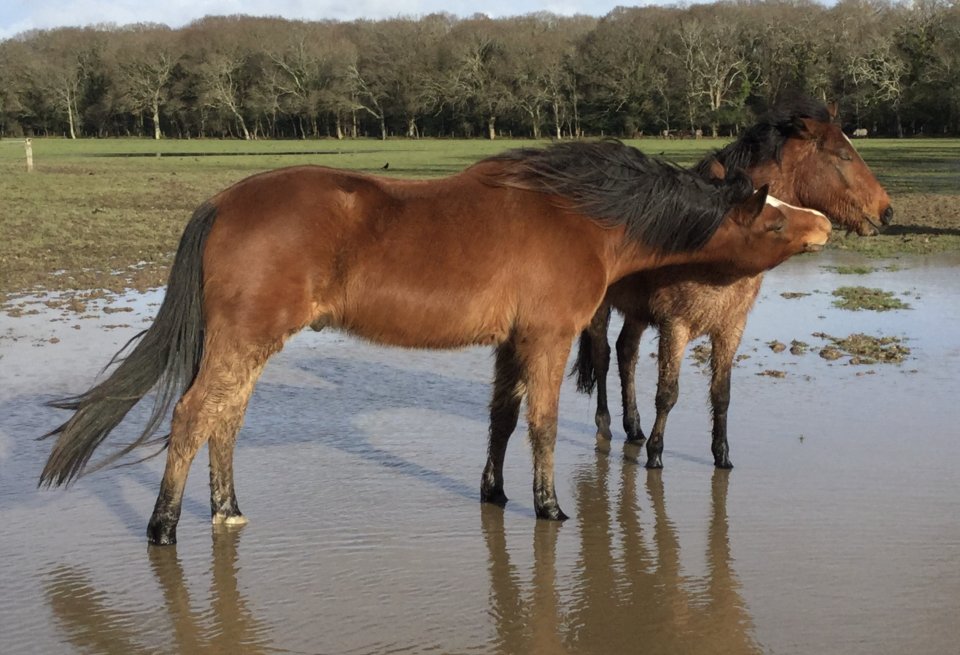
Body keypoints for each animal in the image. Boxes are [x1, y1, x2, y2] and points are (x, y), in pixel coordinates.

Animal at [38, 140, 831, 544]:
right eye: (772, 218)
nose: (823, 223)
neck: (581, 214)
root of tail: (222, 200)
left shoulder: (512, 342)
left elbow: (502, 419)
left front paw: (495, 491)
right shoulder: (547, 338)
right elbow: (543, 425)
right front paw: (548, 507)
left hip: (250, 344)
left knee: (223, 420)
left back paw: (227, 510)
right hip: (244, 338)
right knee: (193, 417)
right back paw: (165, 526)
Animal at [572, 98, 893, 469]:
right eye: (843, 155)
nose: (886, 211)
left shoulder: (730, 326)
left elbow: (721, 393)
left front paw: (722, 456)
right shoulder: (675, 325)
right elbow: (667, 393)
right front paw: (656, 456)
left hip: (637, 311)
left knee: (627, 354)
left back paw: (633, 427)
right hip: (602, 308)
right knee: (603, 355)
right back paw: (606, 425)